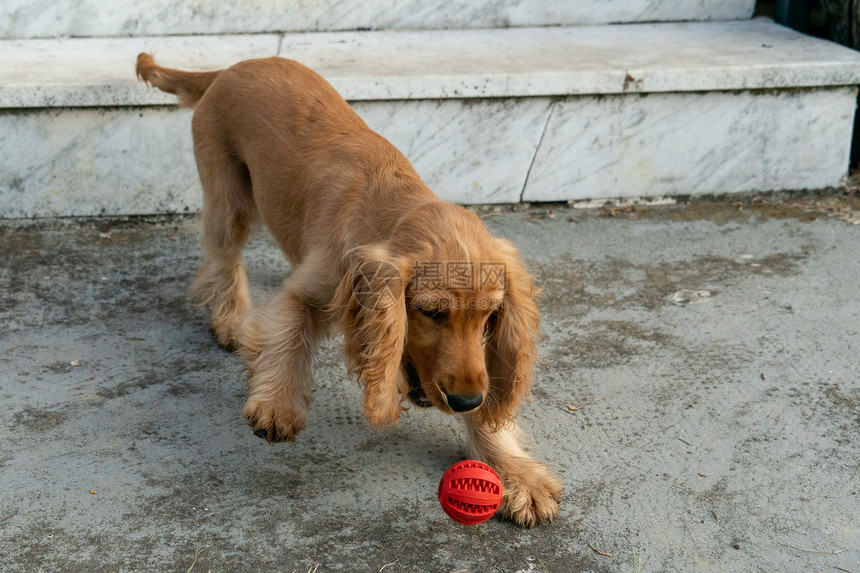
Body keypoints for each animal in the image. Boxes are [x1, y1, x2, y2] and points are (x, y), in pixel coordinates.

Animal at [137, 54, 560, 528]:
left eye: (489, 317)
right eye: (431, 312)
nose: (465, 400)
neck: (390, 209)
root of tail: (231, 66)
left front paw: (516, 474)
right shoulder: (310, 290)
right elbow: (289, 334)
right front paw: (278, 404)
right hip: (226, 190)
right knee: (223, 254)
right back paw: (229, 319)